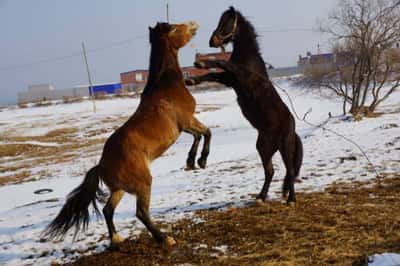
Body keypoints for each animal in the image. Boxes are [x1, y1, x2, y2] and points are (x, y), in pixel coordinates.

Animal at [43, 20, 211, 247]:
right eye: (176, 28)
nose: (194, 24)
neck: (166, 87)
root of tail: (101, 166)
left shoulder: (185, 125)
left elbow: (198, 136)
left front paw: (192, 161)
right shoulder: (186, 121)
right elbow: (206, 132)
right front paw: (201, 160)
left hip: (119, 189)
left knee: (108, 210)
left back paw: (116, 240)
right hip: (143, 183)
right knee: (140, 212)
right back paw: (164, 238)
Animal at [188, 6, 304, 206]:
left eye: (226, 22)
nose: (212, 41)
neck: (249, 58)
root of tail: (293, 130)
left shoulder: (239, 74)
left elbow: (222, 62)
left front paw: (201, 62)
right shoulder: (230, 79)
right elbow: (212, 75)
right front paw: (192, 79)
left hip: (285, 147)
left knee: (289, 171)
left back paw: (291, 200)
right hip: (264, 147)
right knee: (270, 171)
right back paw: (261, 198)